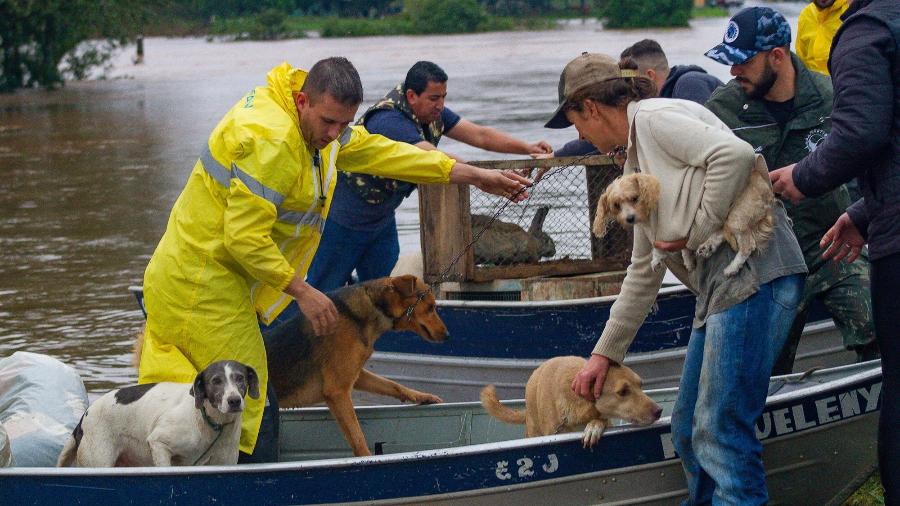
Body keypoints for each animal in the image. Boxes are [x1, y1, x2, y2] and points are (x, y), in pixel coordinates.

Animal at [58, 360, 258, 466]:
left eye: (240, 378)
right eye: (216, 381)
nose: (234, 400)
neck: (209, 421)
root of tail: (84, 417)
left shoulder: (225, 461)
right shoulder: (159, 443)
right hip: (99, 461)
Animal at [266, 274, 450, 456]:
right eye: (431, 307)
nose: (447, 335)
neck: (374, 306)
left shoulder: (355, 375)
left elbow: (393, 385)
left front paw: (421, 396)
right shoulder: (338, 392)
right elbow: (358, 440)